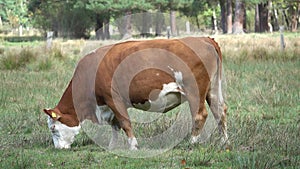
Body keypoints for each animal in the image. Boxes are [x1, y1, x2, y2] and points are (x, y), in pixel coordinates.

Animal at [43, 36, 227, 149]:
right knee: (220, 111)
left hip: (195, 92)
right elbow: (116, 125)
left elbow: (125, 123)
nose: (58, 149)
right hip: (213, 90)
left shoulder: (113, 98)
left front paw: (133, 146)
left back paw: (192, 141)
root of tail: (204, 39)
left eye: (53, 128)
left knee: (200, 115)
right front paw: (112, 146)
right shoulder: (109, 105)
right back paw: (224, 141)